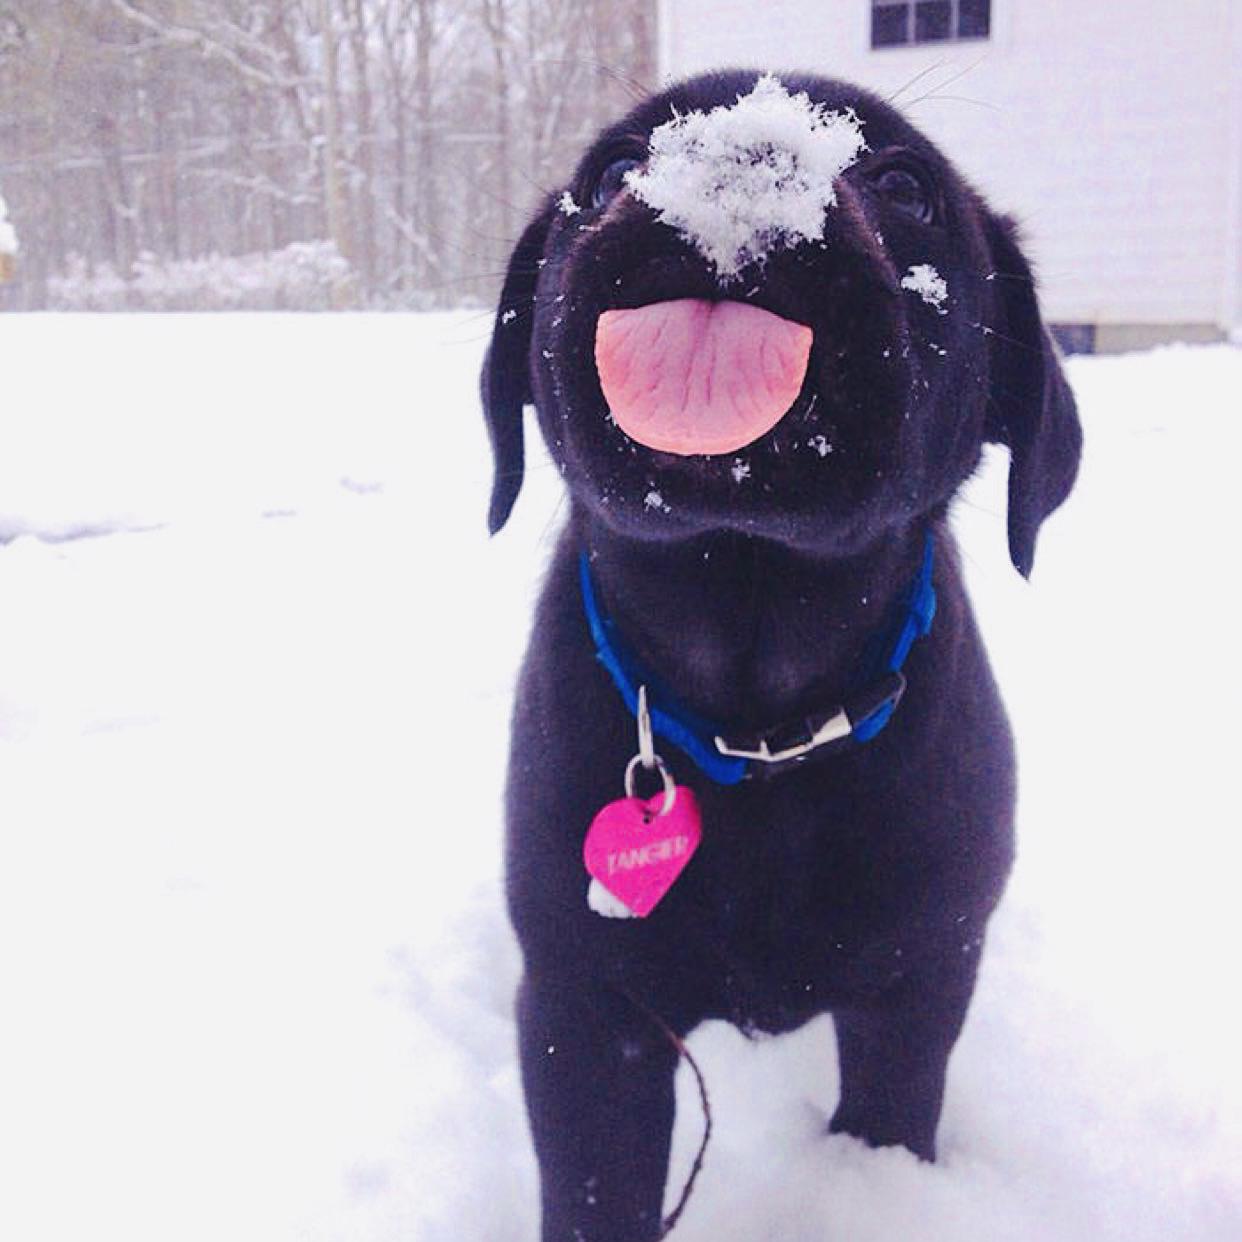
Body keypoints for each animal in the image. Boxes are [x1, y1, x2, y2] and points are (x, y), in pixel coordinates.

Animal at [479, 70, 1083, 1242]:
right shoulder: (588, 1009)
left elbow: (889, 1123)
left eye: (904, 185)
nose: (741, 149)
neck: (756, 726)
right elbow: (594, 1187)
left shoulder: (918, 983)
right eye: (611, 172)